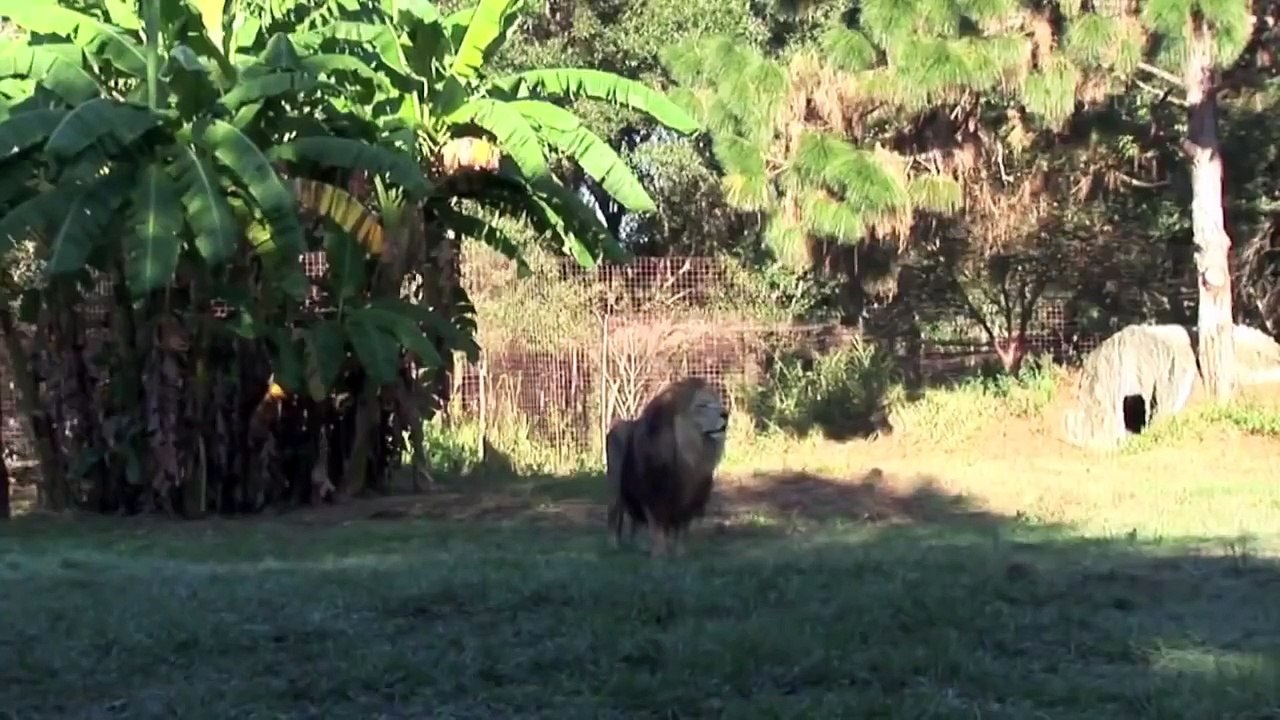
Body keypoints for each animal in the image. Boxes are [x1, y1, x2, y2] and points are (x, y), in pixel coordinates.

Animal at [605, 376, 730, 557]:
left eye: (717, 403)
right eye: (701, 405)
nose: (726, 414)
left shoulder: (689, 498)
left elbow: (682, 529)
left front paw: (680, 553)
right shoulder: (655, 495)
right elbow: (657, 528)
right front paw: (660, 555)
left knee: (635, 522)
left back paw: (638, 546)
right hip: (615, 488)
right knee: (614, 514)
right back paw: (613, 545)